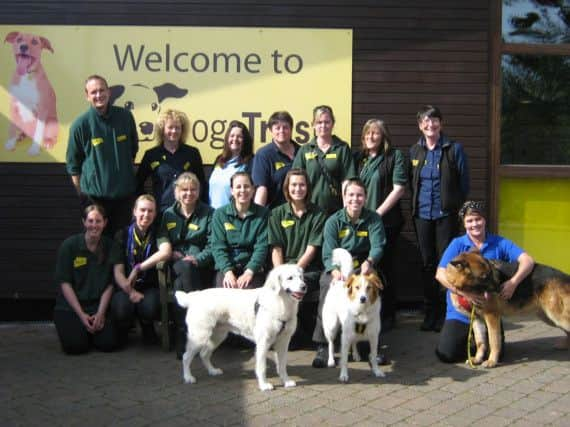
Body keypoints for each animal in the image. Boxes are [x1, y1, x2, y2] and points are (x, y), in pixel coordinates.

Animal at [174, 266, 304, 392]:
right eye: (290, 278)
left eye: (301, 277)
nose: (304, 286)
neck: (280, 303)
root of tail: (195, 296)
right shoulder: (263, 341)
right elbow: (262, 367)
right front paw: (264, 385)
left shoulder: (284, 341)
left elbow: (282, 365)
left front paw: (286, 381)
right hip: (199, 337)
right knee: (186, 357)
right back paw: (188, 377)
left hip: (218, 336)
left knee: (204, 354)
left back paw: (212, 371)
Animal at [322, 249, 384, 382]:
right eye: (357, 287)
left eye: (369, 287)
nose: (362, 299)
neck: (362, 310)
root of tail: (341, 281)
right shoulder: (345, 337)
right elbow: (344, 359)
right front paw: (344, 375)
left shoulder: (374, 336)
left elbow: (374, 356)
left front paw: (377, 371)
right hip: (332, 326)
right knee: (330, 343)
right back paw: (330, 360)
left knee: (354, 341)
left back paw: (356, 354)